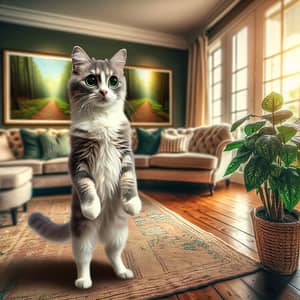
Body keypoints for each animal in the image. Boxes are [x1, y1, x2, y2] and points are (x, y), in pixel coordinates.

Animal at [28, 46, 142, 288]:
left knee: (113, 253)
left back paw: (122, 272)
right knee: (83, 258)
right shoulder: (78, 159)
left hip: (118, 233)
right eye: (91, 80)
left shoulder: (126, 153)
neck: (102, 120)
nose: (104, 91)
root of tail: (101, 230)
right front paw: (92, 207)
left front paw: (133, 203)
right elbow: (86, 186)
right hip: (82, 234)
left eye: (113, 80)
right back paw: (83, 280)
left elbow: (129, 179)